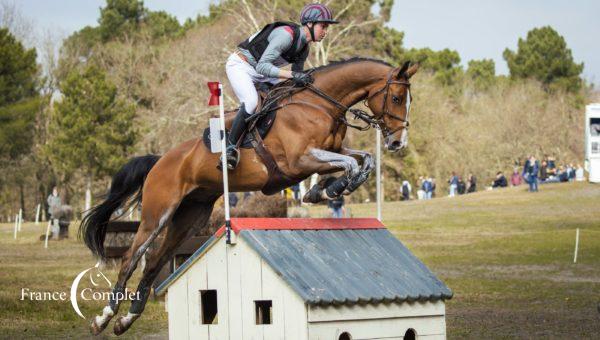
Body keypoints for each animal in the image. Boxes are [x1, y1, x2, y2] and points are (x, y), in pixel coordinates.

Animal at [81, 57, 418, 334]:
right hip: (158, 213)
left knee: (153, 262)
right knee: (131, 257)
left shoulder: (328, 152)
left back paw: (126, 320)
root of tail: (160, 159)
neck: (317, 104)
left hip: (190, 217)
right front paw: (331, 189)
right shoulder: (299, 161)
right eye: (397, 98)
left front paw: (324, 190)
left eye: (408, 100)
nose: (397, 143)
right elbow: (351, 163)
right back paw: (104, 318)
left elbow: (363, 160)